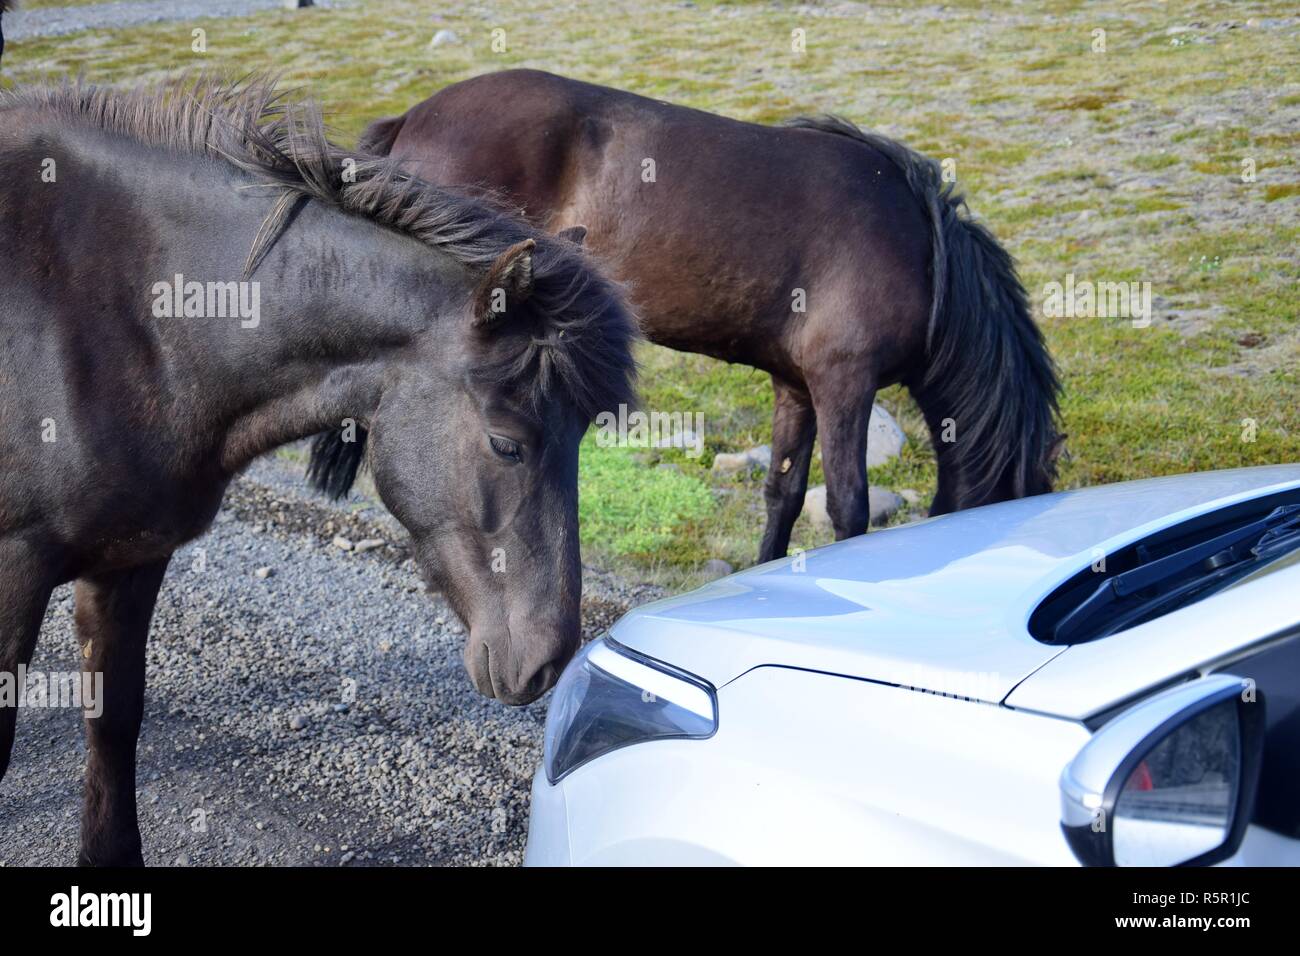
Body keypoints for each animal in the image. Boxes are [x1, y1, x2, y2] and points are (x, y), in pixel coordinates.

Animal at [0, 78, 634, 863]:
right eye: (506, 443)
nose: (546, 661)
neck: (111, 312)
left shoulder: (129, 560)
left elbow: (114, 720)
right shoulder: (15, 565)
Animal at [361, 70, 1060, 564]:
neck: (920, 250)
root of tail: (413, 116)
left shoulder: (796, 387)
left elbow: (783, 494)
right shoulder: (844, 383)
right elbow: (848, 506)